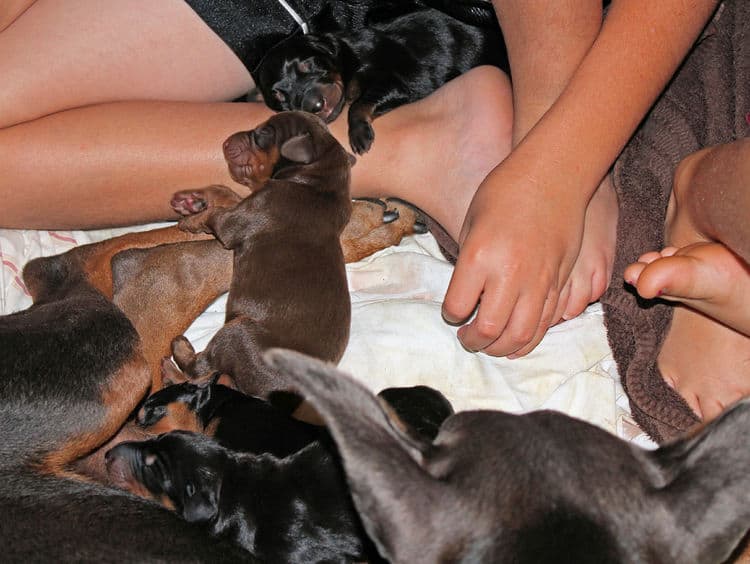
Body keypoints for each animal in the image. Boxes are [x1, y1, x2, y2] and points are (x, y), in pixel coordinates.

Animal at [167, 111, 358, 410]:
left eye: (264, 133)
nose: (224, 142)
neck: (317, 182)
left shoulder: (235, 220)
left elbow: (214, 214)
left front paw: (190, 220)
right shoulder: (245, 203)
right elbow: (224, 191)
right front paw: (191, 200)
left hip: (239, 332)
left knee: (202, 367)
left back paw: (180, 348)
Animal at [256, 9, 508, 154]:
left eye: (309, 64)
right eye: (279, 95)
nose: (315, 105)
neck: (348, 56)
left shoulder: (403, 81)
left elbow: (359, 103)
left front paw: (359, 134)